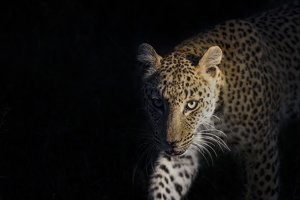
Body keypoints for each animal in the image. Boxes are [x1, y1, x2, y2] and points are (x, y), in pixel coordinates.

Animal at [137, 3, 300, 200]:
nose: (170, 143)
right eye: (158, 103)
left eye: (191, 104)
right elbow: (165, 183)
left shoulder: (262, 146)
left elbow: (261, 191)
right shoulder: (186, 150)